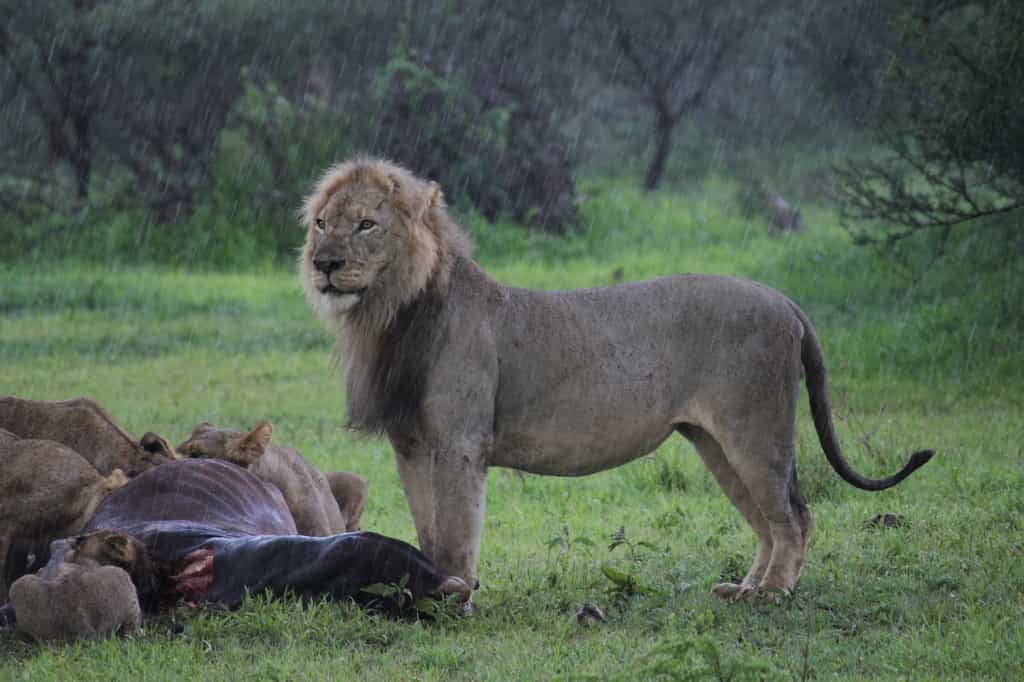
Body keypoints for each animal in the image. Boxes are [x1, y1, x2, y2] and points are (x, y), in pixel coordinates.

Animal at [299, 157, 933, 601]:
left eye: (366, 224)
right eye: (322, 223)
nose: (323, 264)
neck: (391, 316)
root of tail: (787, 302)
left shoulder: (459, 444)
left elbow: (455, 534)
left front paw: (453, 598)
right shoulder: (410, 446)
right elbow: (429, 529)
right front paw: (431, 590)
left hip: (756, 431)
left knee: (795, 516)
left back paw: (774, 595)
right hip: (715, 444)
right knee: (766, 522)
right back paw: (744, 589)